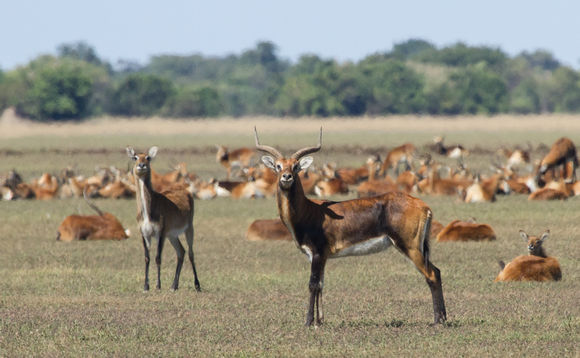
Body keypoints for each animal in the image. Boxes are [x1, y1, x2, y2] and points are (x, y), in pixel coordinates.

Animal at [125, 147, 201, 292]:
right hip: (172, 235)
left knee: (190, 253)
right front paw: (146, 286)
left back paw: (197, 285)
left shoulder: (160, 233)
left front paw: (158, 285)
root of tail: (186, 190)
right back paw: (174, 286)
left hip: (189, 228)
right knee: (181, 252)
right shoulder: (145, 234)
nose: (141, 165)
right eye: (135, 157)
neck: (148, 211)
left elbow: (158, 258)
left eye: (148, 157)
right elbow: (147, 258)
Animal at [251, 127, 446, 326]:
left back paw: (437, 321)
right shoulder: (320, 257)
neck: (309, 211)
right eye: (278, 166)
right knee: (437, 272)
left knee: (431, 275)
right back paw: (443, 319)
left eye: (296, 166)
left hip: (410, 247)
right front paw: (319, 322)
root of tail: (423, 206)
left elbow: (312, 284)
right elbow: (320, 284)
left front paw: (308, 322)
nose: (286, 177)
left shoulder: (318, 253)